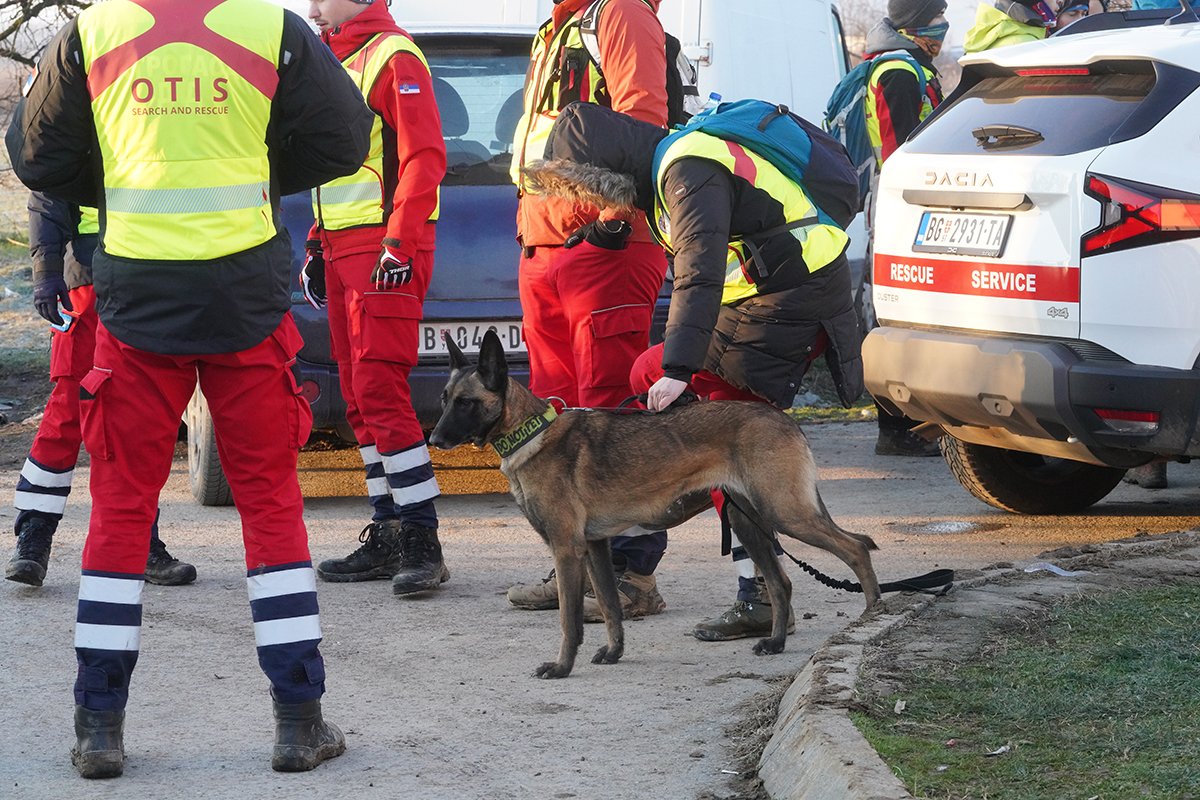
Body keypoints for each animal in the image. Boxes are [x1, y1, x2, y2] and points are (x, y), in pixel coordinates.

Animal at [432, 328, 883, 681]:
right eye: (443, 398)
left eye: (466, 402)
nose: (434, 440)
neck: (531, 433)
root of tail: (783, 418)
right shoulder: (595, 548)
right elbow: (611, 608)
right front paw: (614, 653)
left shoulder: (566, 549)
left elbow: (569, 620)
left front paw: (562, 667)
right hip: (746, 521)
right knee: (780, 581)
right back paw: (774, 642)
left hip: (786, 514)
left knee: (855, 549)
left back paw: (873, 616)